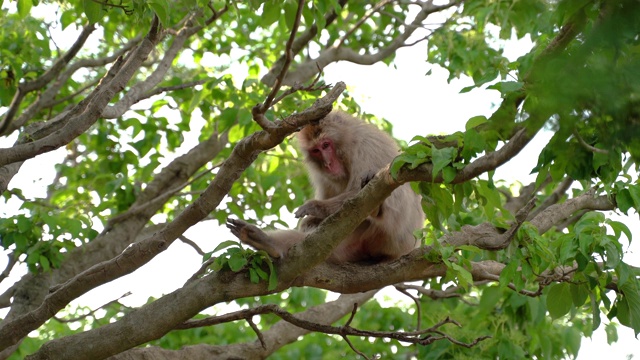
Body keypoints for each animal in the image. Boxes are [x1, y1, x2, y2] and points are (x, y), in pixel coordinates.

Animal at [229, 111, 424, 262]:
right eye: (316, 150)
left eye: (326, 145)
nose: (328, 164)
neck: (348, 144)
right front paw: (310, 219)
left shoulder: (366, 147)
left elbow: (360, 190)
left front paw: (315, 207)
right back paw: (265, 242)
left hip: (400, 234)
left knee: (387, 183)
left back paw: (376, 208)